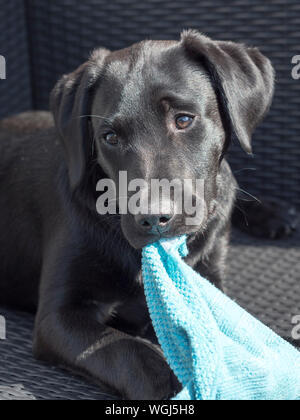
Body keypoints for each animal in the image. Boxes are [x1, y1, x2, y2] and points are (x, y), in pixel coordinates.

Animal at [0, 31, 274, 398]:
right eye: (110, 137)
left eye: (183, 119)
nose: (153, 219)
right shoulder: (58, 316)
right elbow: (126, 350)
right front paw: (172, 379)